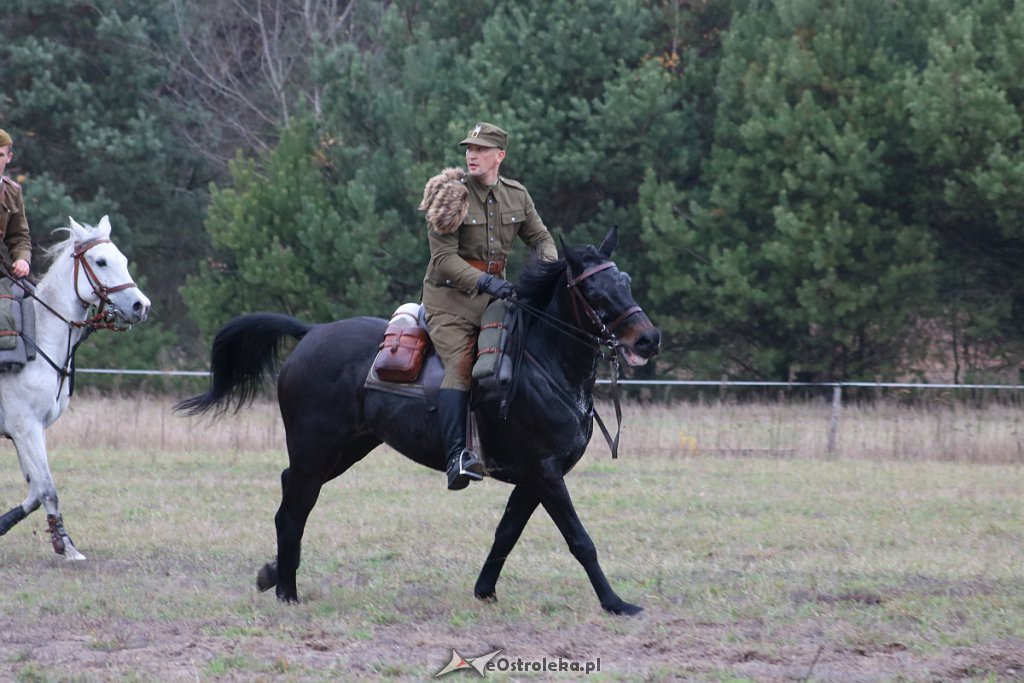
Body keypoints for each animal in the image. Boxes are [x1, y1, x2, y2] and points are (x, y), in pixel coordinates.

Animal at [0, 218, 149, 561]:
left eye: (123, 259)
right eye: (101, 261)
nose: (141, 305)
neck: (39, 339)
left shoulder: (30, 431)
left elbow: (36, 491)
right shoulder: (25, 428)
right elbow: (47, 488)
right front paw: (66, 546)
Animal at [177, 227, 663, 618]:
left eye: (625, 281)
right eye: (594, 291)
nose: (648, 339)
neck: (541, 361)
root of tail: (312, 333)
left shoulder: (534, 479)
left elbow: (506, 532)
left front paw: (484, 591)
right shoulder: (545, 474)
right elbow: (580, 540)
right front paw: (616, 603)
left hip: (343, 451)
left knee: (288, 493)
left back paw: (273, 575)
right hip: (315, 452)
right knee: (293, 510)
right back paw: (287, 592)